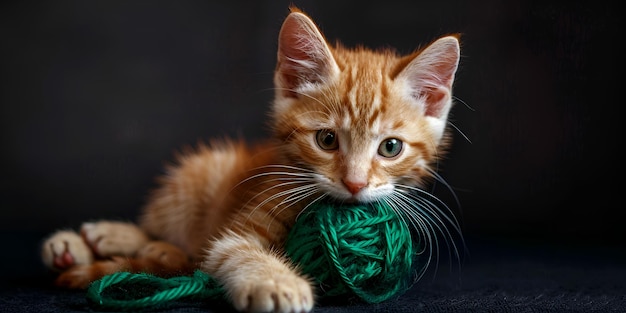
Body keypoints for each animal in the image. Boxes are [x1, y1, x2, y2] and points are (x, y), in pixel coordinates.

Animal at [39, 7, 458, 312]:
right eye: (326, 140)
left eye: (390, 148)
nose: (354, 184)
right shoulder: (239, 227)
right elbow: (232, 251)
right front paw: (277, 282)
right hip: (199, 174)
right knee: (169, 232)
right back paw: (103, 240)